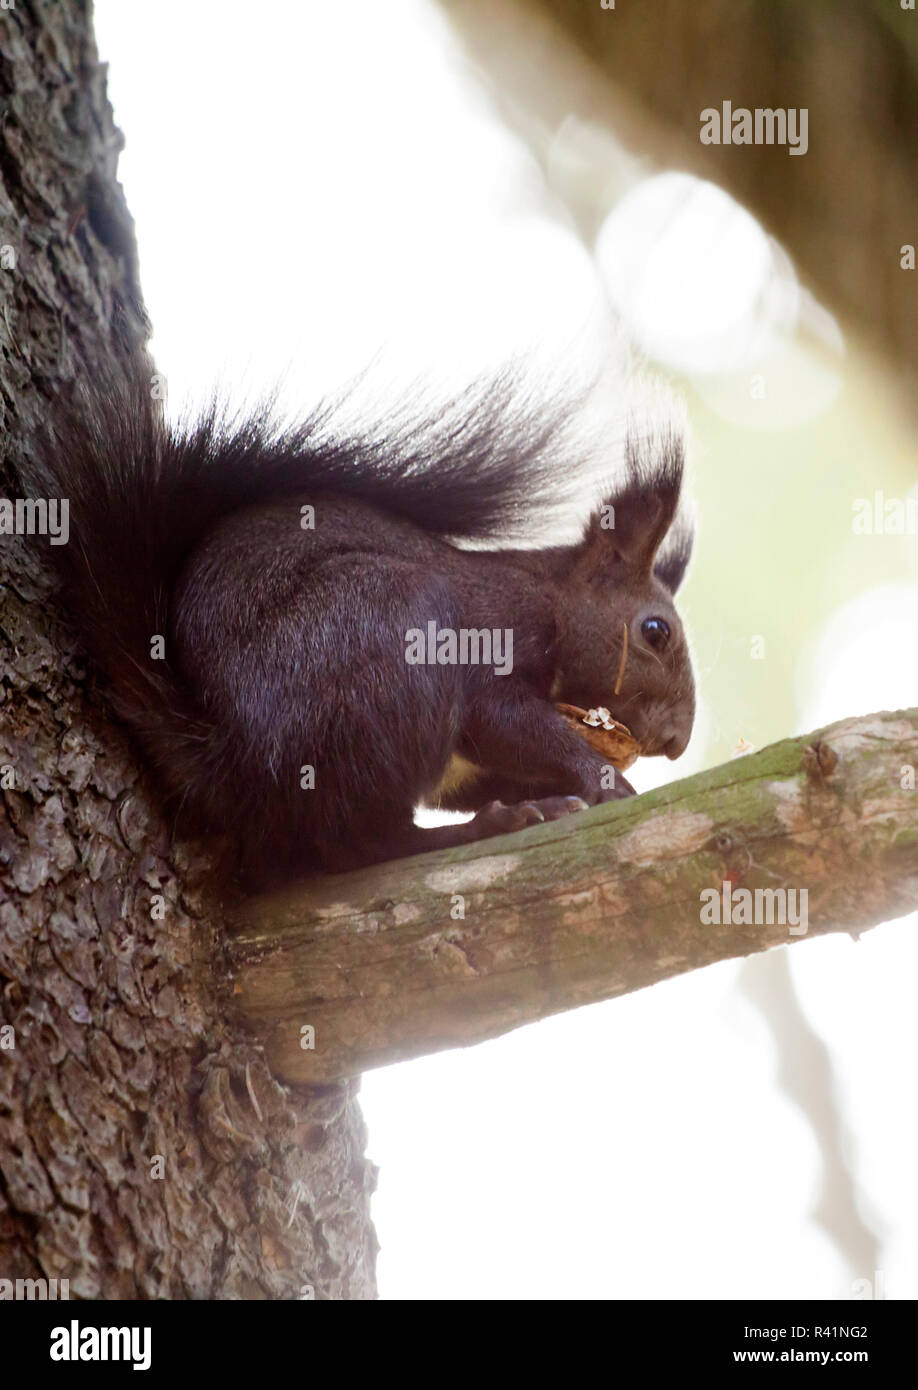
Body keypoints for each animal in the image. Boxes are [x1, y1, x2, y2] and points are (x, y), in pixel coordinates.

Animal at [20, 370, 695, 889]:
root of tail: (230, 751)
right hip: (393, 629)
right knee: (362, 846)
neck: (551, 600)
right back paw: (491, 826)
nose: (677, 742)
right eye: (655, 631)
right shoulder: (493, 640)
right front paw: (603, 778)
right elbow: (502, 719)